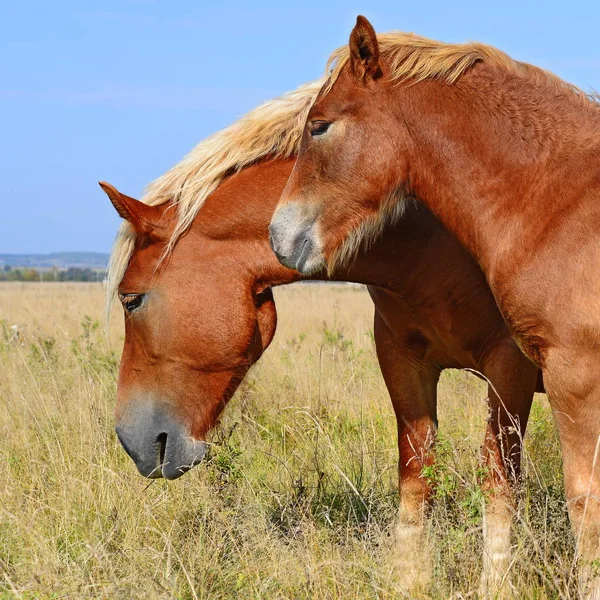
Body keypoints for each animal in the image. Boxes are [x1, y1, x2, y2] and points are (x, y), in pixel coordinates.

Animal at [101, 82, 536, 596]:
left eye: (131, 299)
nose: (131, 440)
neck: (433, 236)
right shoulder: (403, 361)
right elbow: (416, 475)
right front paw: (408, 581)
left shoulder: (510, 368)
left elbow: (500, 483)